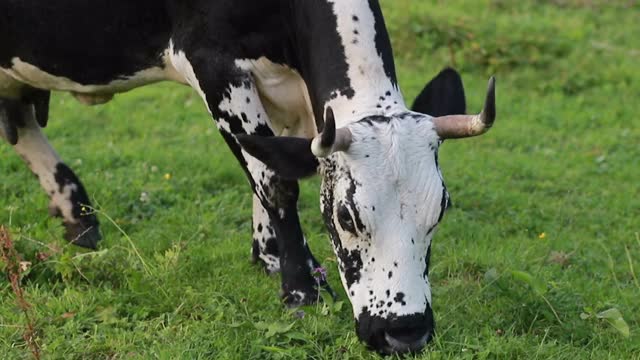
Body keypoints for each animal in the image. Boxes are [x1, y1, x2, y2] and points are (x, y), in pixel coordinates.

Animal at [0, 0, 498, 354]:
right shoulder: (212, 62)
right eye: (346, 216)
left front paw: (271, 256)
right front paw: (301, 291)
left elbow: (274, 162)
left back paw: (79, 219)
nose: (405, 334)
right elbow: (276, 180)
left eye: (440, 210)